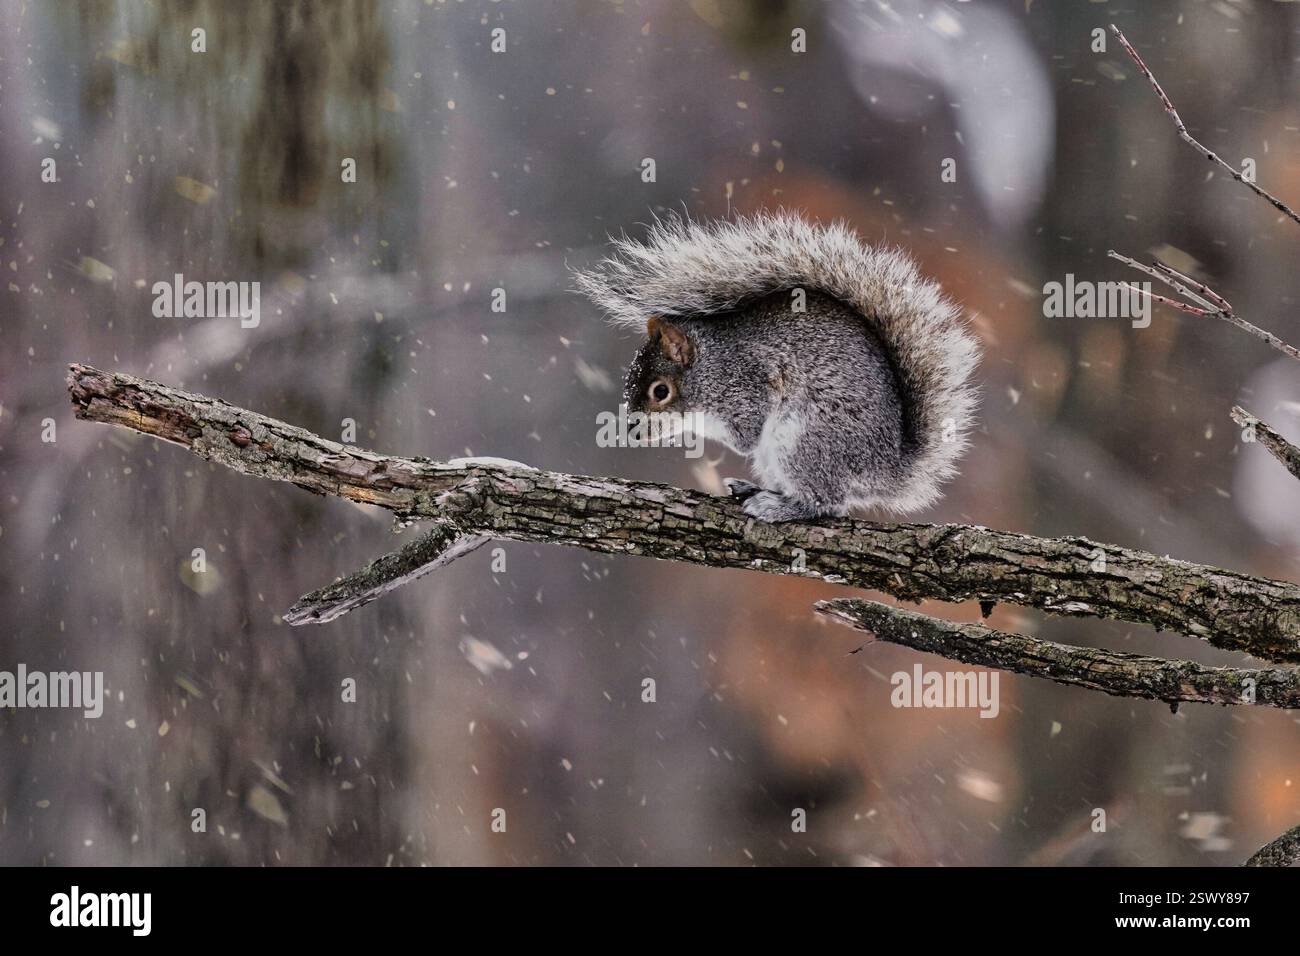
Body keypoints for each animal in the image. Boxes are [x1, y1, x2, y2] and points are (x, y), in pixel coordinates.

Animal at [574, 212, 980, 522]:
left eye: (661, 391)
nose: (632, 432)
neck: (712, 365)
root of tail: (885, 467)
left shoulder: (747, 386)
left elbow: (744, 435)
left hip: (804, 442)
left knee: (825, 503)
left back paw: (778, 507)